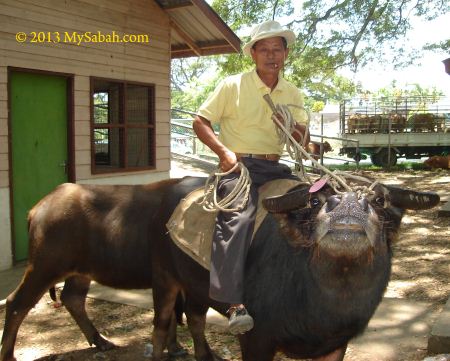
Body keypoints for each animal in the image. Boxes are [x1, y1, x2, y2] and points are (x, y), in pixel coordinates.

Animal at [0, 180, 185, 361]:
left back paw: (101, 341)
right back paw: (8, 355)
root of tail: (36, 210)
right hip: (44, 267)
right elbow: (168, 313)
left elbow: (171, 313)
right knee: (16, 302)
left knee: (72, 298)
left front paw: (175, 348)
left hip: (79, 273)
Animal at [149, 176, 438, 360]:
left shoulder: (336, 345)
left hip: (195, 286)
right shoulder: (256, 340)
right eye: (315, 201)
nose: (347, 203)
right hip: (164, 280)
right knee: (162, 323)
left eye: (379, 200)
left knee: (194, 317)